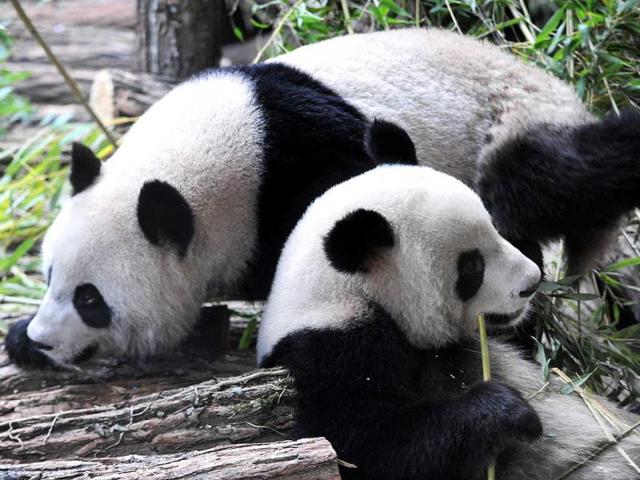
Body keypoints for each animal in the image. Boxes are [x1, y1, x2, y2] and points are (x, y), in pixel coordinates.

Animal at [7, 28, 640, 366]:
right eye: (48, 276)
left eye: (92, 300)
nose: (43, 339)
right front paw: (18, 339)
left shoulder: (306, 164)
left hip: (508, 119)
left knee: (548, 180)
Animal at [256, 126, 640, 480]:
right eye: (471, 267)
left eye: (494, 228)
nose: (531, 284)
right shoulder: (334, 347)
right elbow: (357, 449)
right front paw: (508, 411)